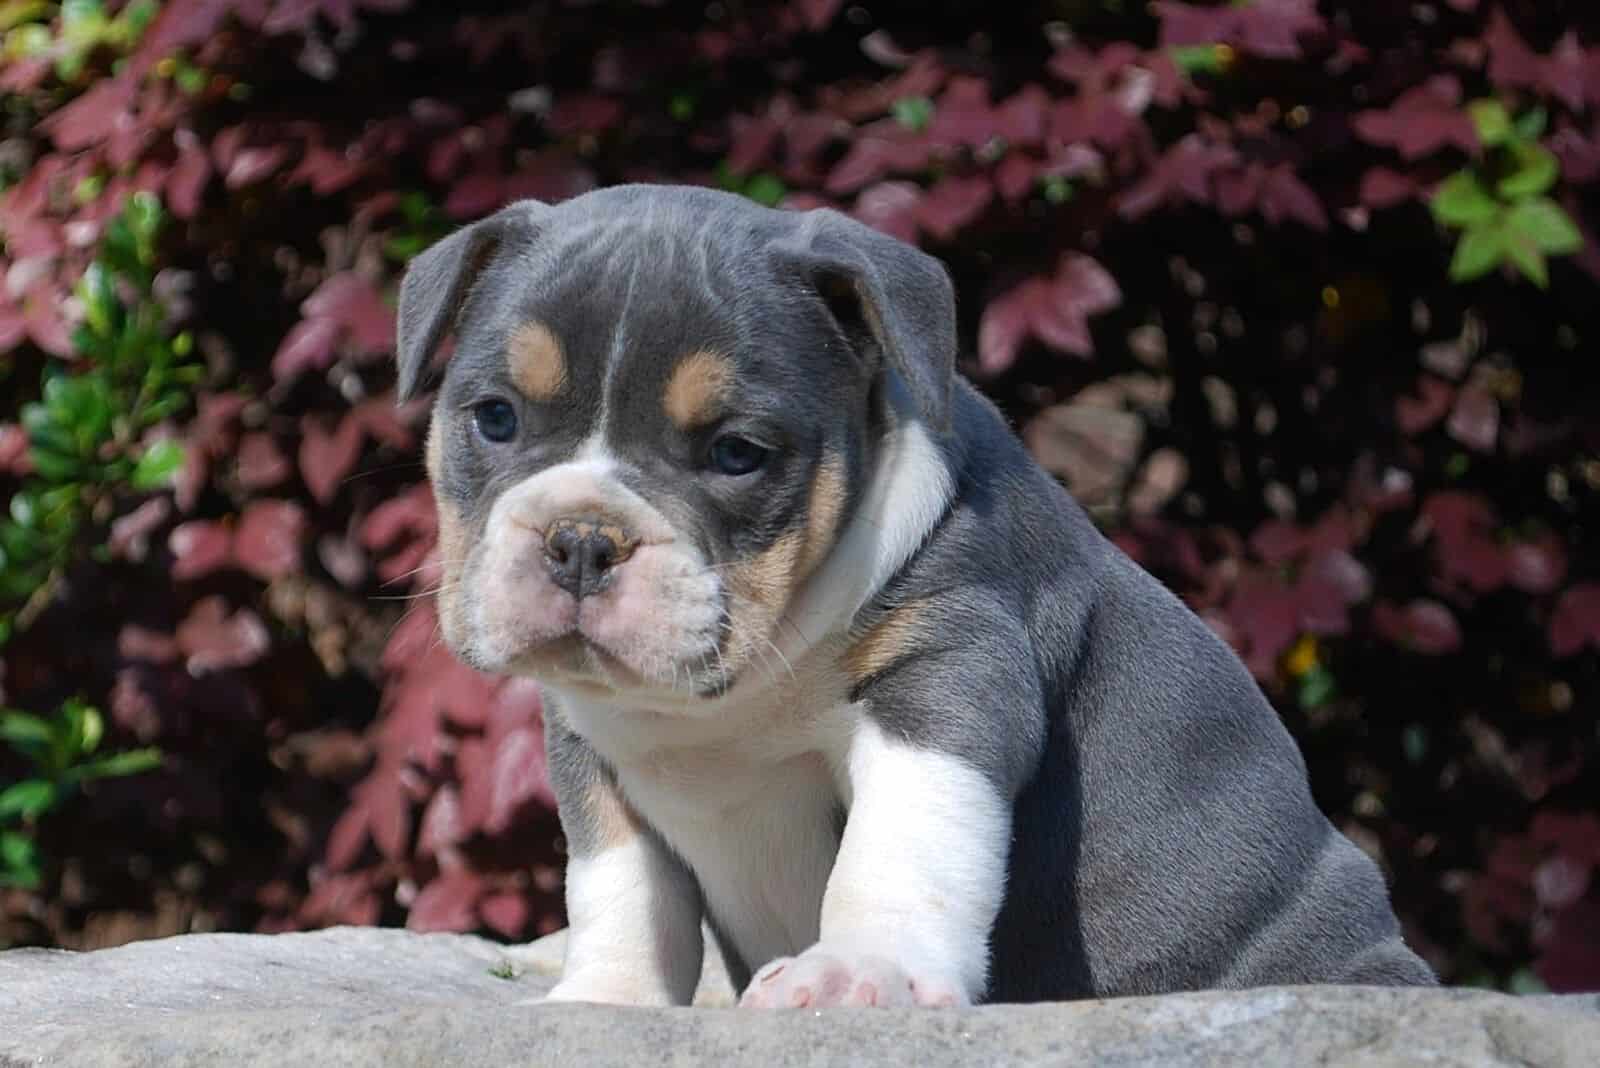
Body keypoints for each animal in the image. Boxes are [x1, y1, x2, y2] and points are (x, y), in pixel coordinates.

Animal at [390, 179, 1440, 1004]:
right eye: (494, 418)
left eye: (737, 454)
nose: (580, 539)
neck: (730, 691)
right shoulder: (591, 755)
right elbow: (622, 892)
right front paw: (604, 1000)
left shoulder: (947, 677)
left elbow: (900, 848)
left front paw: (860, 973)